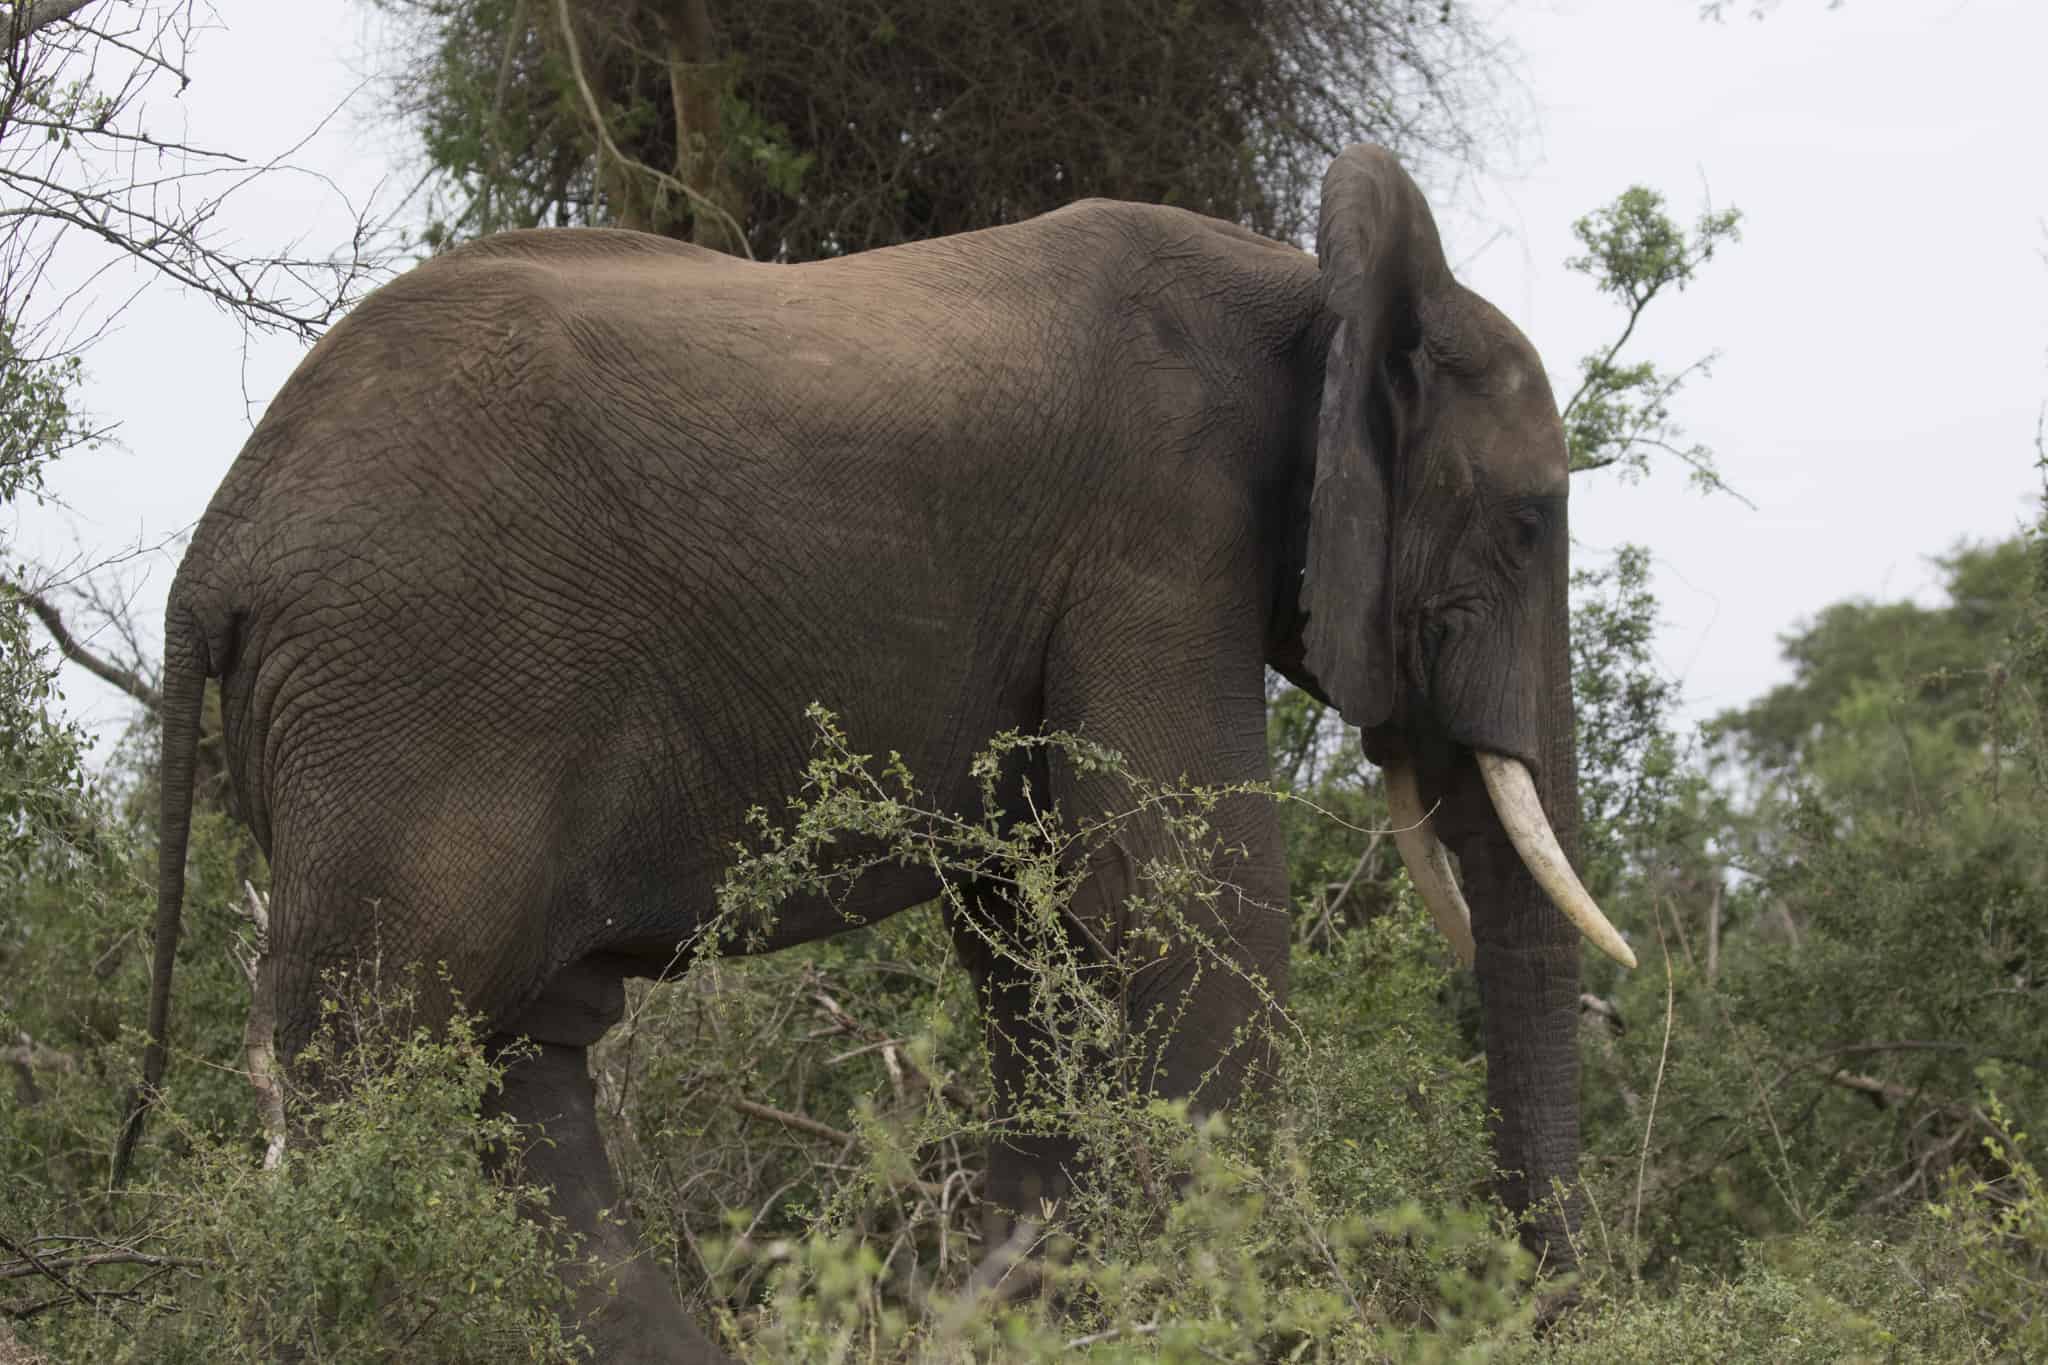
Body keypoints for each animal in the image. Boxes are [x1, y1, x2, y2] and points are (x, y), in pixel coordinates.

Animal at [114, 143, 1633, 1361]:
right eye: (1529, 525)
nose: (1545, 1304)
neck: (1311, 289)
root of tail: (211, 556)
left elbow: (1035, 936)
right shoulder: (1158, 540)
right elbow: (1190, 903)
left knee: (517, 1070)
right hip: (417, 694)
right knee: (383, 1052)